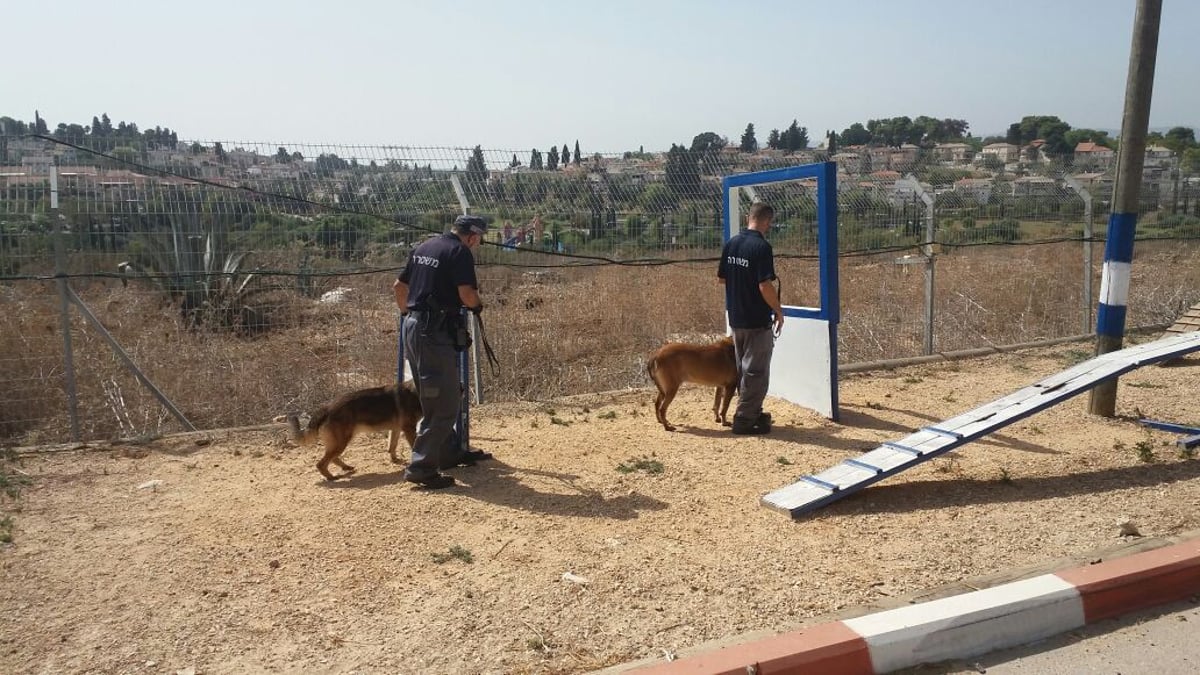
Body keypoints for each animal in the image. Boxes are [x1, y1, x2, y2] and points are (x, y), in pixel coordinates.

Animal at [285, 379, 422, 478]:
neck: (415, 391)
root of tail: (327, 407)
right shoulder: (409, 429)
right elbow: (412, 446)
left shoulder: (396, 429)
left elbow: (392, 446)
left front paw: (395, 459)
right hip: (341, 442)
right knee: (321, 463)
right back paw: (331, 477)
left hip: (339, 442)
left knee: (333, 458)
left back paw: (345, 467)